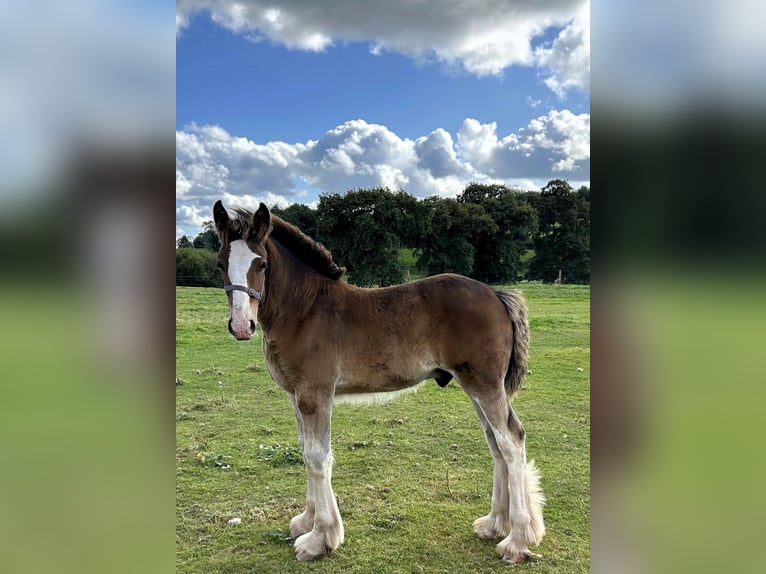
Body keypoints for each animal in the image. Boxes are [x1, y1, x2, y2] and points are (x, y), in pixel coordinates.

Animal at [210, 200, 544, 564]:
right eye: (221, 263)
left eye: (262, 264)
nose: (242, 325)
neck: (304, 310)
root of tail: (496, 294)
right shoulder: (296, 396)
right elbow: (305, 453)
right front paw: (306, 522)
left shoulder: (316, 394)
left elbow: (318, 457)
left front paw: (320, 539)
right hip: (476, 386)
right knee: (495, 444)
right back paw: (494, 524)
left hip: (485, 385)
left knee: (511, 441)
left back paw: (516, 541)